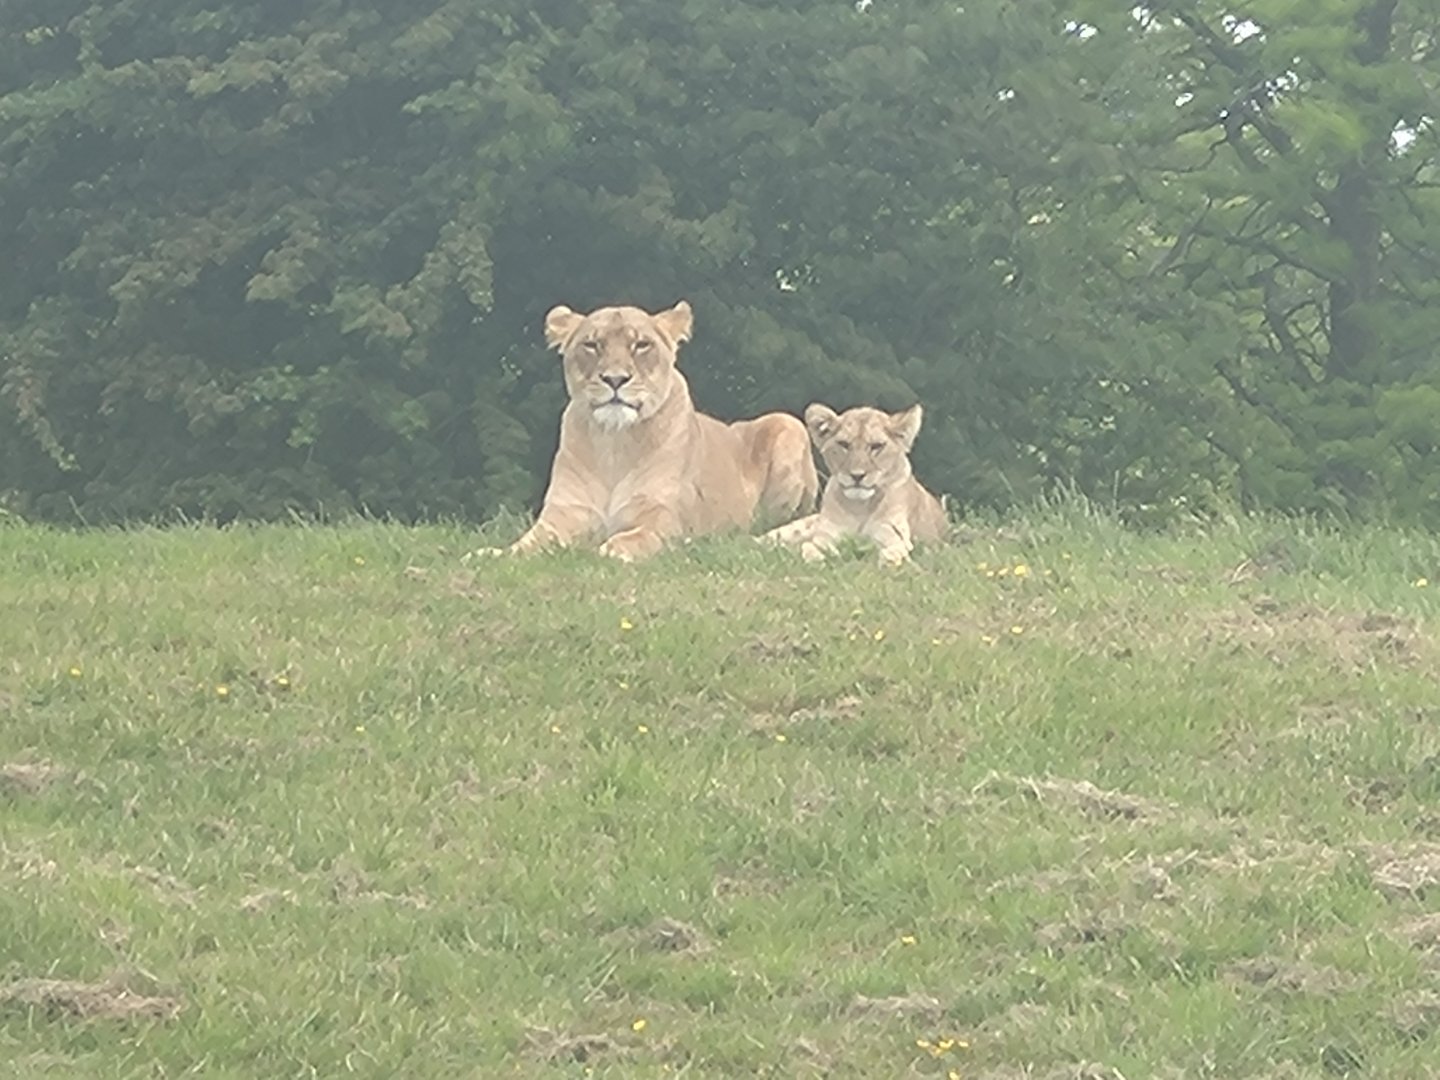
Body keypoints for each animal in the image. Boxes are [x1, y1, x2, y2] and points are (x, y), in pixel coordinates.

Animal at [479, 300, 818, 562]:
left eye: (641, 345)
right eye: (592, 344)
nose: (615, 379)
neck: (614, 445)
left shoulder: (663, 517)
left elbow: (637, 536)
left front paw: (610, 550)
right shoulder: (563, 515)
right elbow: (527, 542)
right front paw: (494, 554)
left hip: (788, 424)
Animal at [761, 402, 948, 565]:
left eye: (876, 446)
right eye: (844, 444)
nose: (857, 476)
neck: (860, 508)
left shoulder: (895, 537)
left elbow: (894, 553)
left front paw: (888, 563)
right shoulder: (825, 536)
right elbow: (810, 548)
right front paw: (822, 557)